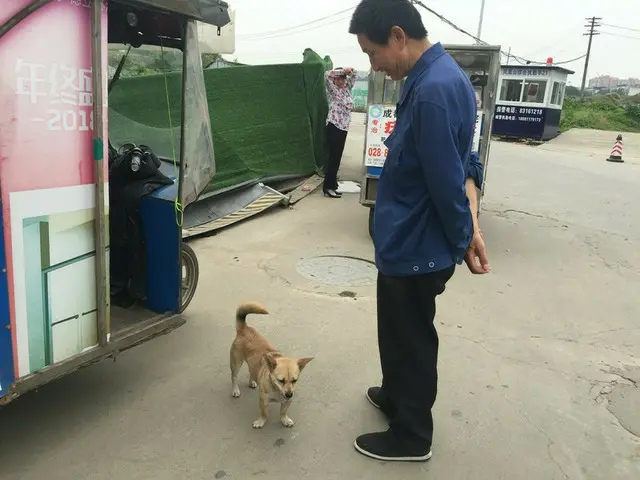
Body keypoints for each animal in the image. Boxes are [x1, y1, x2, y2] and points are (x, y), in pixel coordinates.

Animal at [229, 302, 314, 430]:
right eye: (280, 380)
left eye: (295, 380)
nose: (289, 394)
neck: (277, 390)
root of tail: (244, 328)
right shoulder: (263, 400)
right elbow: (265, 413)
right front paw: (261, 421)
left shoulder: (287, 401)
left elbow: (283, 412)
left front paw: (284, 419)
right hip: (236, 363)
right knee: (234, 377)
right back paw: (235, 390)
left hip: (252, 364)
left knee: (252, 371)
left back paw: (252, 381)